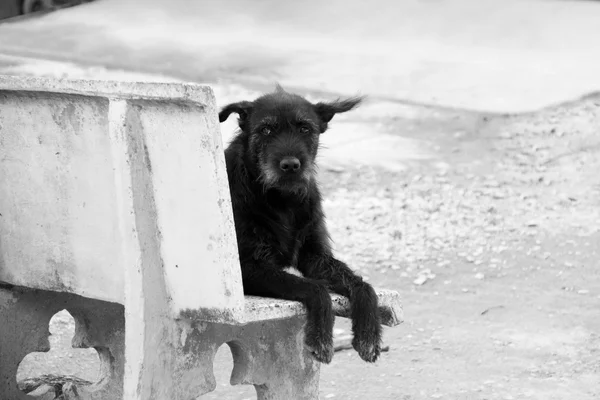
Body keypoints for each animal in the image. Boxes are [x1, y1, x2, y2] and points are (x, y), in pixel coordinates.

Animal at [218, 86, 382, 364]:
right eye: (266, 129)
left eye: (305, 128)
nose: (291, 165)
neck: (282, 201)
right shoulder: (248, 268)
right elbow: (314, 288)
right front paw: (321, 338)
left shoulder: (315, 256)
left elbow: (362, 284)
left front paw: (368, 334)